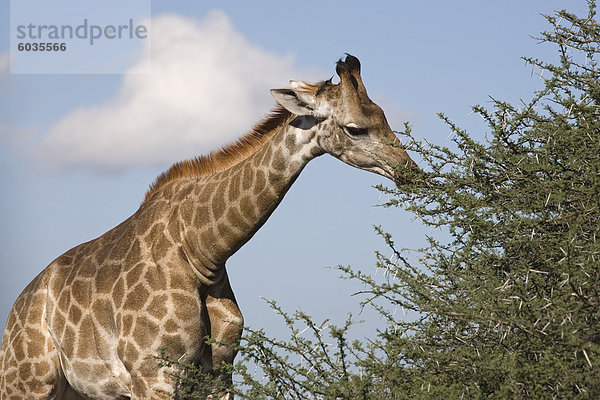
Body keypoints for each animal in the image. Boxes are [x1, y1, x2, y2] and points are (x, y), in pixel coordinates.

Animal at [0, 54, 418, 398]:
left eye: (384, 116)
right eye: (354, 129)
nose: (412, 173)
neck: (203, 250)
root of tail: (17, 309)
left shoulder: (218, 373)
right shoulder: (153, 374)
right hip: (29, 383)